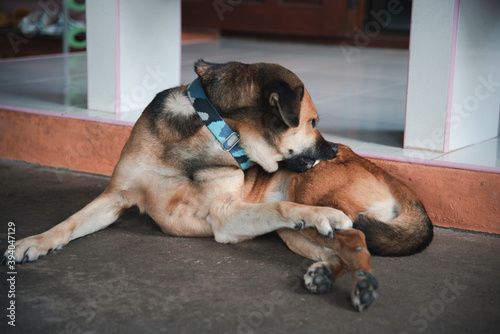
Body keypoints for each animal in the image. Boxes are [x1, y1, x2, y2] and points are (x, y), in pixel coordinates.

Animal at [0, 59, 434, 310]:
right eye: (312, 122)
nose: (331, 150)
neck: (211, 131)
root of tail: (388, 174)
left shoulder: (224, 216)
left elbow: (280, 206)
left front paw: (323, 214)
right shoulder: (114, 196)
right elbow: (70, 222)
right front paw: (34, 242)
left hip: (308, 194)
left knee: (354, 238)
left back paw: (362, 282)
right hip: (292, 235)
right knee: (338, 252)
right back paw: (325, 274)